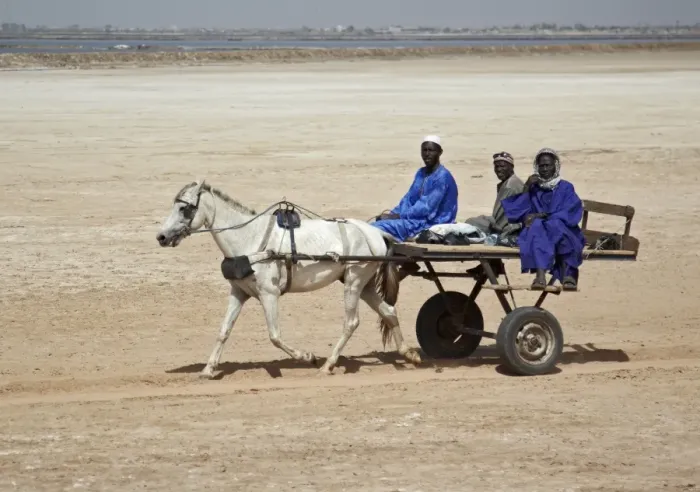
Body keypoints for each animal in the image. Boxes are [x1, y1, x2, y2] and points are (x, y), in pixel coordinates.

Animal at [156, 179, 422, 378]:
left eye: (185, 208)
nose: (161, 236)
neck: (250, 239)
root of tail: (375, 232)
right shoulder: (239, 292)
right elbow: (224, 330)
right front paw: (208, 369)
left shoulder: (269, 294)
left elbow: (274, 336)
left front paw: (307, 356)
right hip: (363, 284)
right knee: (388, 311)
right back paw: (409, 354)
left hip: (355, 281)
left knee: (352, 322)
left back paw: (328, 364)